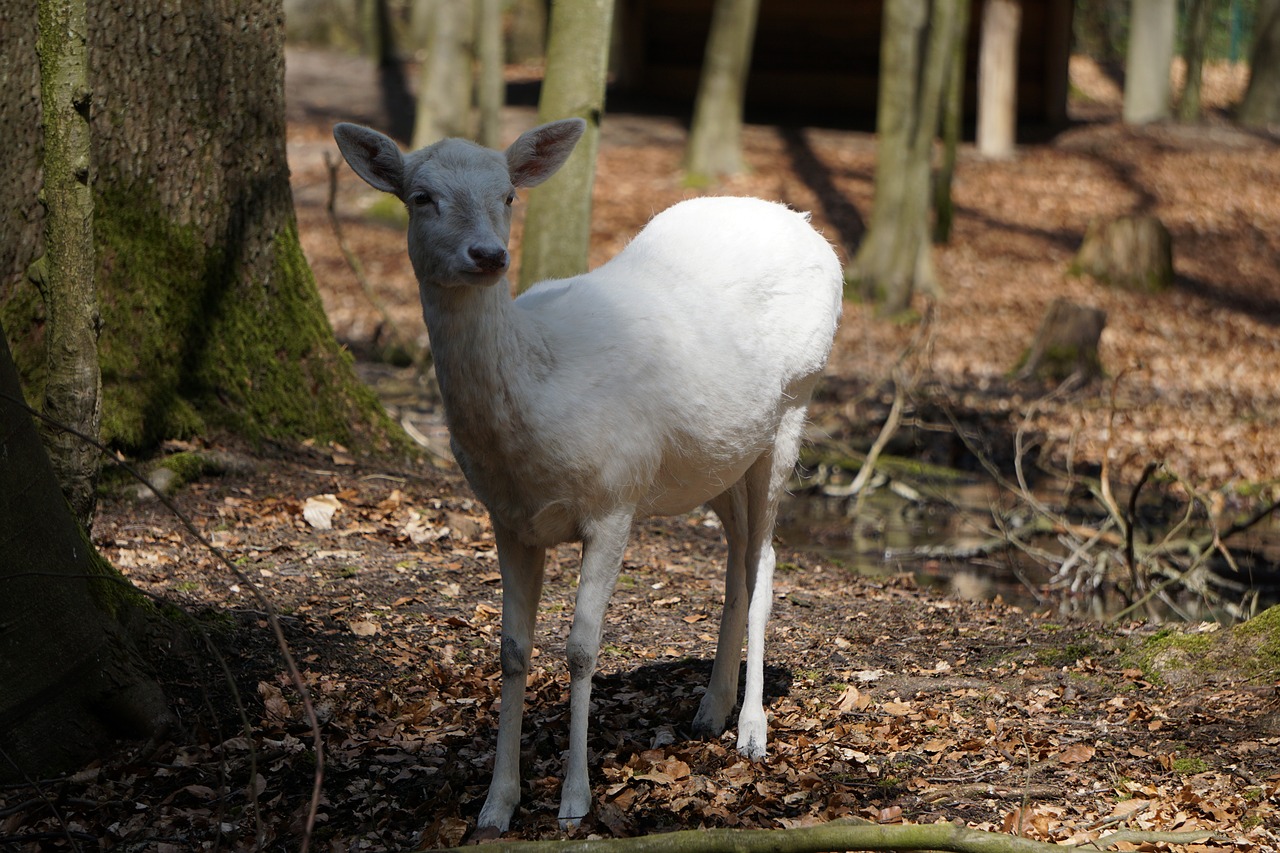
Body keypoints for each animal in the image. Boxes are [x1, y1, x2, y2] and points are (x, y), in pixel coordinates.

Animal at [335, 116, 844, 824]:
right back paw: (709, 710)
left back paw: (751, 731)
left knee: (765, 558)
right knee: (737, 558)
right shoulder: (508, 518)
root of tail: (805, 223)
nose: (489, 255)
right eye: (420, 197)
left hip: (797, 401)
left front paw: (574, 800)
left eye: (509, 195)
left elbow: (581, 648)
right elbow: (512, 649)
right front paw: (496, 805)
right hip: (716, 456)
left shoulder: (615, 497)